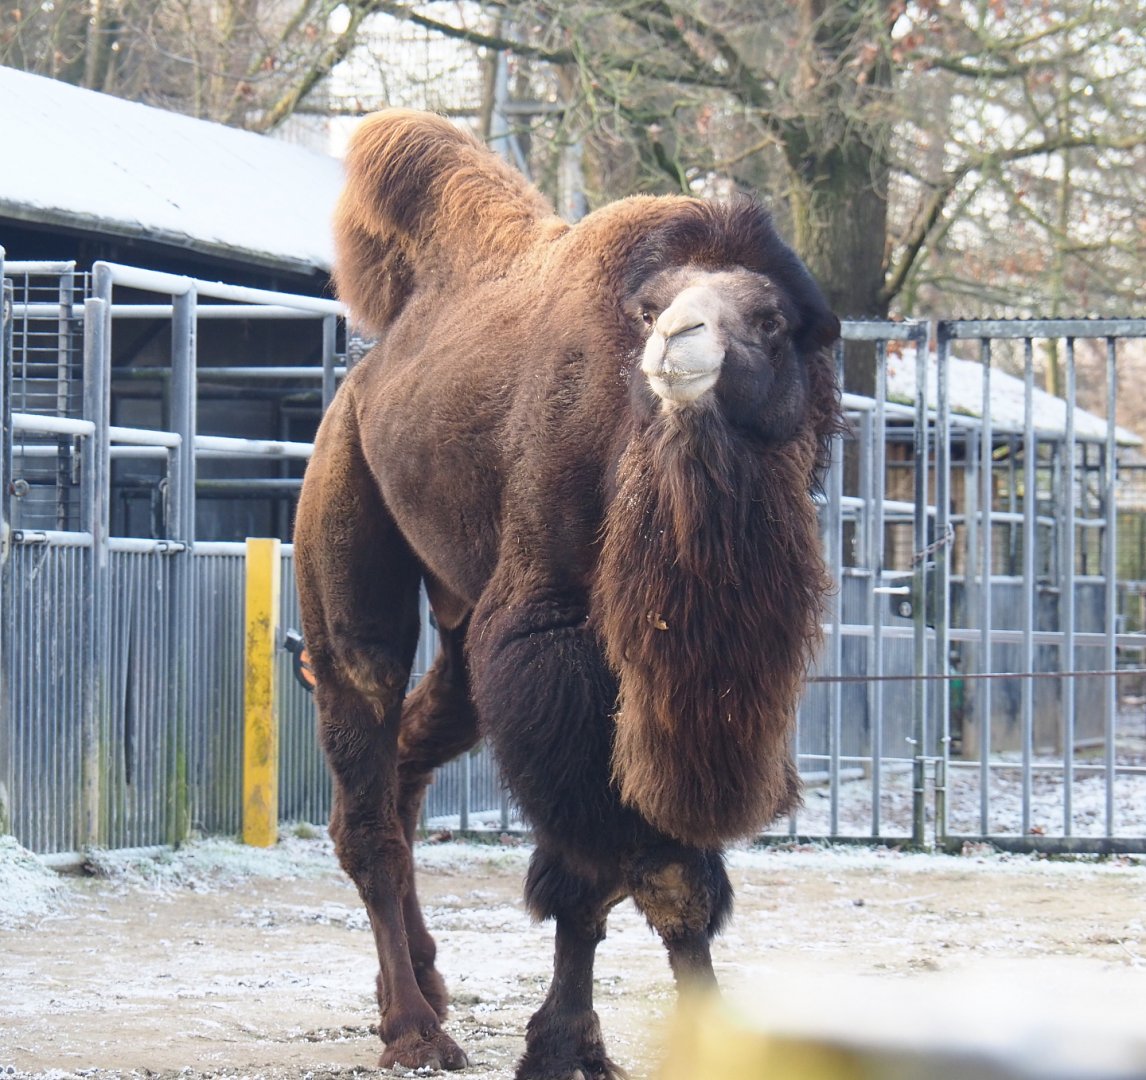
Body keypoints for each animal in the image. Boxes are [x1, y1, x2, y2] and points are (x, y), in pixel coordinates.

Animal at [293, 109, 842, 1079]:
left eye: (771, 319)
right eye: (651, 310)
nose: (677, 343)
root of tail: (367, 370)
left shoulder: (687, 687)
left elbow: (657, 867)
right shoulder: (551, 641)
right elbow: (605, 867)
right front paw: (562, 1045)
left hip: (462, 630)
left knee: (410, 755)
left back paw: (424, 983)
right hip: (345, 506)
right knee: (365, 762)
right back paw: (415, 1031)